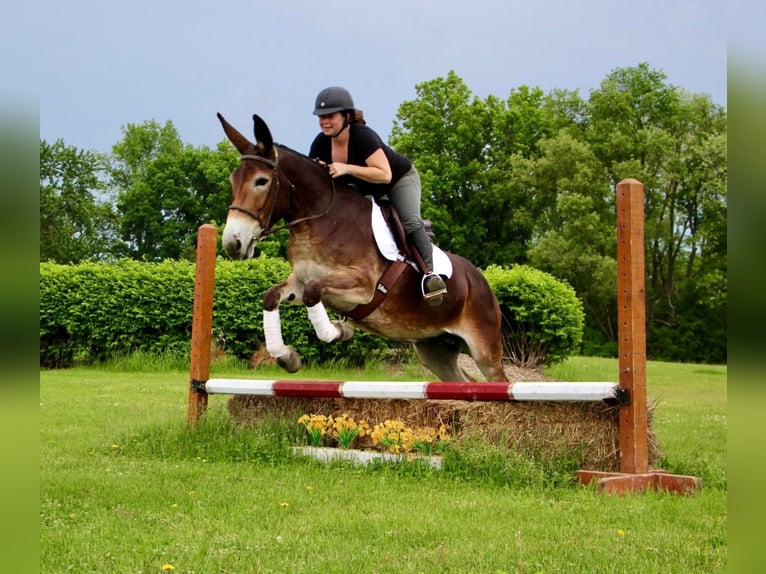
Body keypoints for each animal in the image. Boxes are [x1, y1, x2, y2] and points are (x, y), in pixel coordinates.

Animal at [218, 112, 510, 382]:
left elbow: (314, 293)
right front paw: (288, 357)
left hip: (483, 348)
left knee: (497, 380)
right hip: (435, 348)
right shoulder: (300, 281)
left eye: (261, 181)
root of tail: (481, 282)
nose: (233, 242)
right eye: (232, 181)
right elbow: (272, 296)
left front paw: (340, 330)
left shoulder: (363, 285)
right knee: (464, 382)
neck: (320, 220)